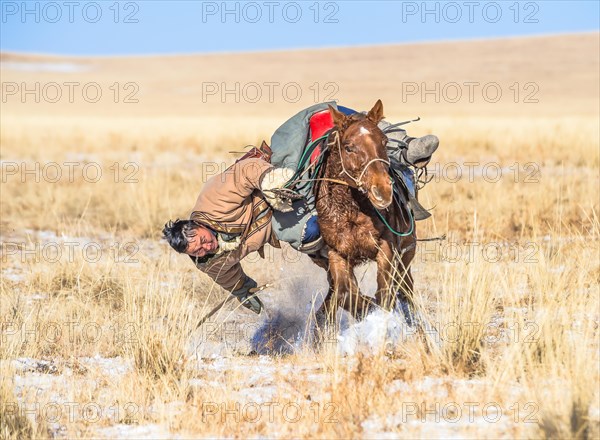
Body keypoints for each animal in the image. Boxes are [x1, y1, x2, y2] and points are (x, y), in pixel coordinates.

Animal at [310, 99, 418, 326]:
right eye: (349, 147)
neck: (351, 212)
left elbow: (384, 293)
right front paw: (365, 310)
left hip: (407, 253)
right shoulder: (337, 254)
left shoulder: (386, 248)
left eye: (384, 142)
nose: (383, 190)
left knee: (405, 289)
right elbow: (345, 293)